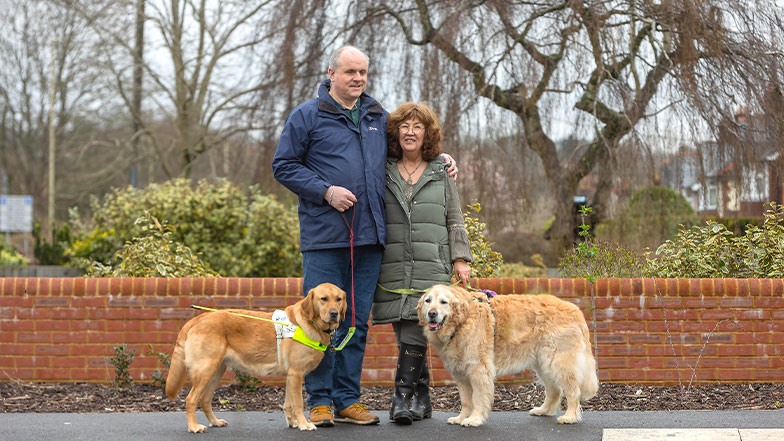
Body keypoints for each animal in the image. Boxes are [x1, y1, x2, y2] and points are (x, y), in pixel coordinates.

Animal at [165, 282, 346, 430]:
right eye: (323, 299)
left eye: (338, 299)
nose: (334, 313)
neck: (309, 323)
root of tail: (196, 319)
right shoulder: (296, 374)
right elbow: (299, 405)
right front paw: (304, 424)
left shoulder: (290, 376)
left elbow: (288, 404)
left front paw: (293, 423)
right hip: (205, 371)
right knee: (190, 399)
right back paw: (193, 427)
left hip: (215, 372)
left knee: (204, 400)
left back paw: (214, 422)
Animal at [420, 284, 596, 424]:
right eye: (428, 301)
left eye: (443, 302)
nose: (432, 313)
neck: (463, 320)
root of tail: (575, 310)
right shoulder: (461, 374)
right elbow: (466, 401)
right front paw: (461, 418)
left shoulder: (478, 370)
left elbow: (478, 399)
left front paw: (474, 419)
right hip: (543, 364)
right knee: (554, 391)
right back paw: (543, 411)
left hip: (556, 362)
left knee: (573, 391)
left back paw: (569, 417)